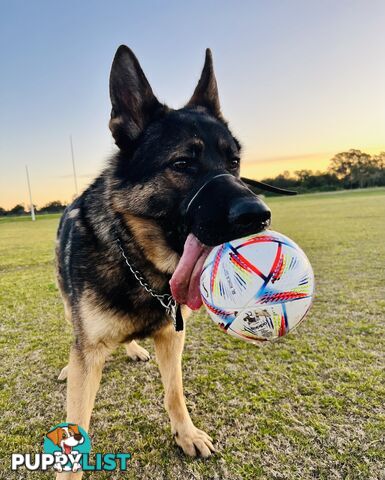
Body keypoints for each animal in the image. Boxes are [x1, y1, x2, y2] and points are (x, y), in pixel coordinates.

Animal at [56, 44, 272, 476]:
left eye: (234, 162)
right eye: (182, 164)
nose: (260, 215)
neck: (137, 263)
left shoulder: (173, 338)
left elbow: (175, 392)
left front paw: (186, 434)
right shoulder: (90, 352)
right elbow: (78, 420)